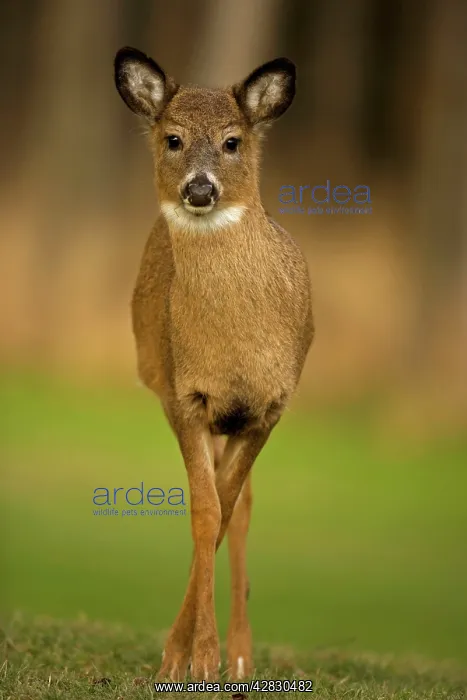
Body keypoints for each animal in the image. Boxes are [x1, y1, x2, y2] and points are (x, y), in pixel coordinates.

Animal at [114, 46, 314, 682]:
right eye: (173, 138)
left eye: (232, 141)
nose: (199, 189)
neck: (236, 351)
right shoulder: (186, 396)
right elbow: (205, 513)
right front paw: (190, 659)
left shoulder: (269, 406)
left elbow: (225, 511)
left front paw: (207, 657)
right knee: (229, 506)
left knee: (244, 507)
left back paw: (245, 656)